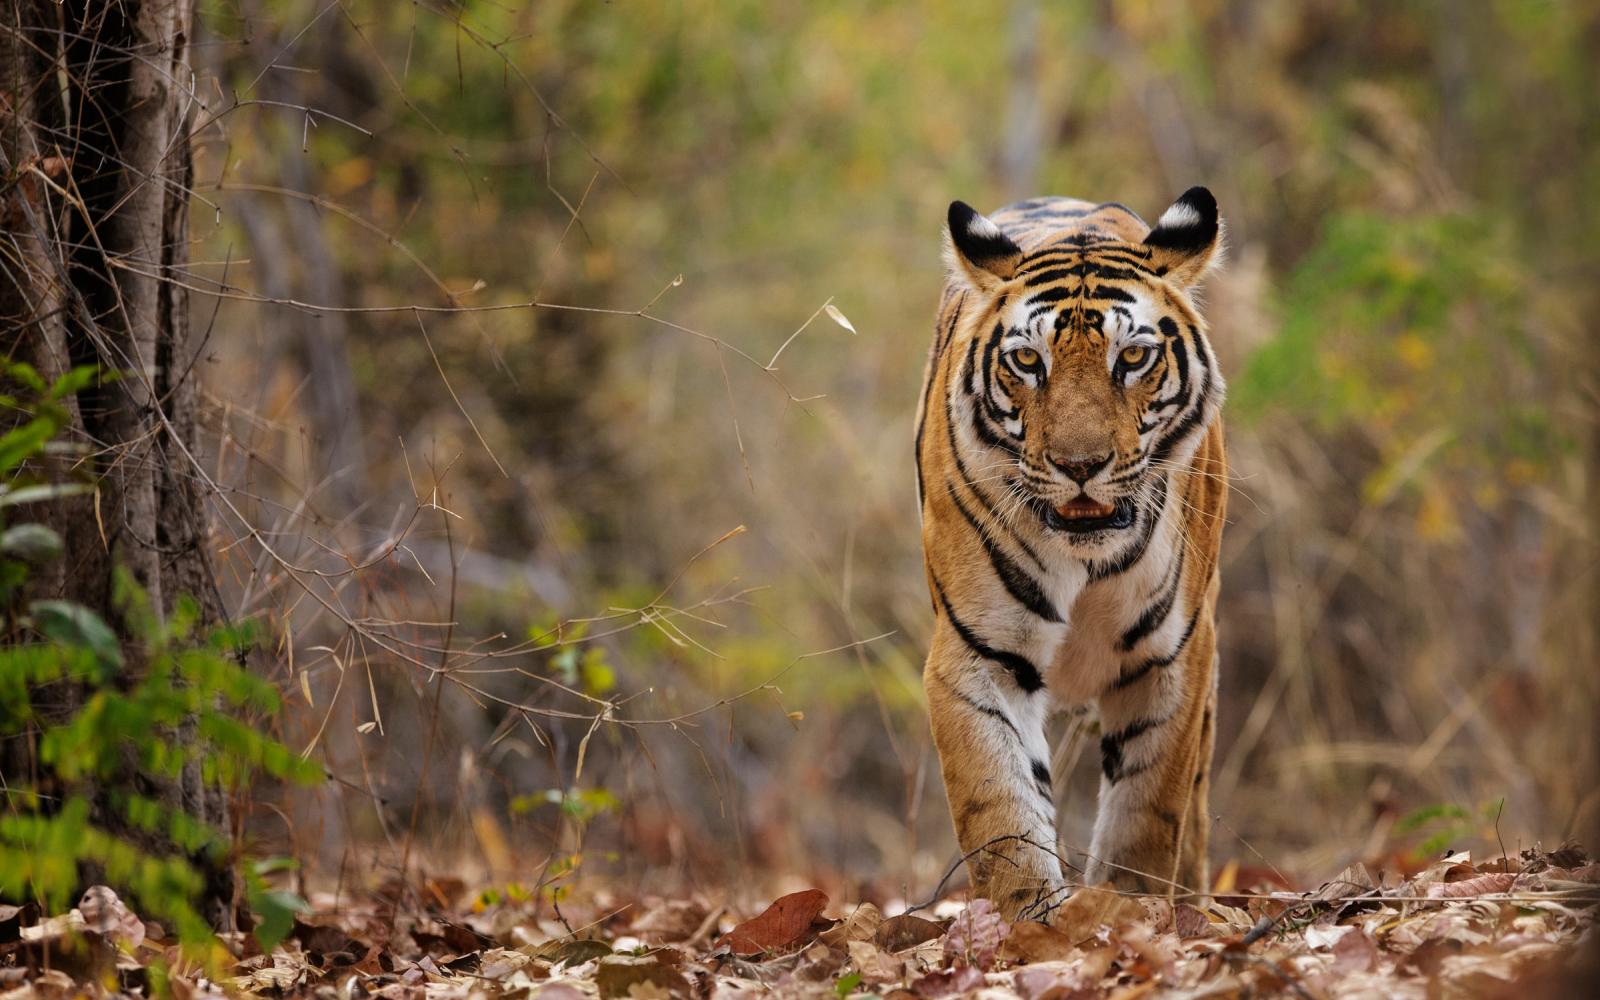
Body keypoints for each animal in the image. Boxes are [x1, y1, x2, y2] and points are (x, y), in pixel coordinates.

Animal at [915, 187, 1222, 921]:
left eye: (1133, 358)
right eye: (1029, 362)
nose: (1080, 465)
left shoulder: (1172, 657)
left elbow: (1148, 812)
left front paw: (1133, 910)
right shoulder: (979, 653)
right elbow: (1002, 812)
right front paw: (1032, 921)